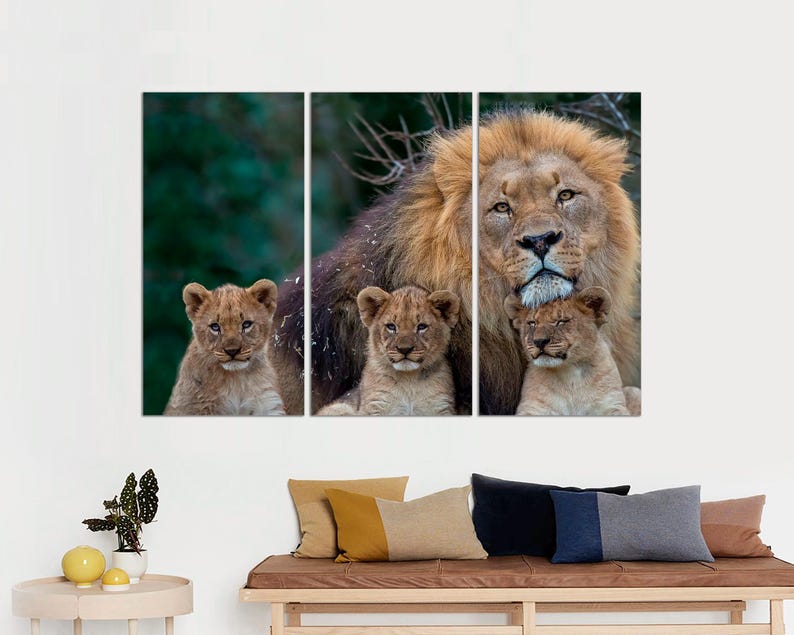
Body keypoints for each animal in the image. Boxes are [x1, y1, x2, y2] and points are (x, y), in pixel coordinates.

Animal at [317, 286, 460, 416]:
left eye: (422, 326)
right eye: (391, 326)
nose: (404, 349)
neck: (409, 380)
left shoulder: (441, 407)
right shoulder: (374, 405)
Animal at [504, 287, 640, 416]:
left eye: (561, 322)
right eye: (532, 323)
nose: (539, 341)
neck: (570, 375)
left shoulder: (612, 405)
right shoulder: (532, 408)